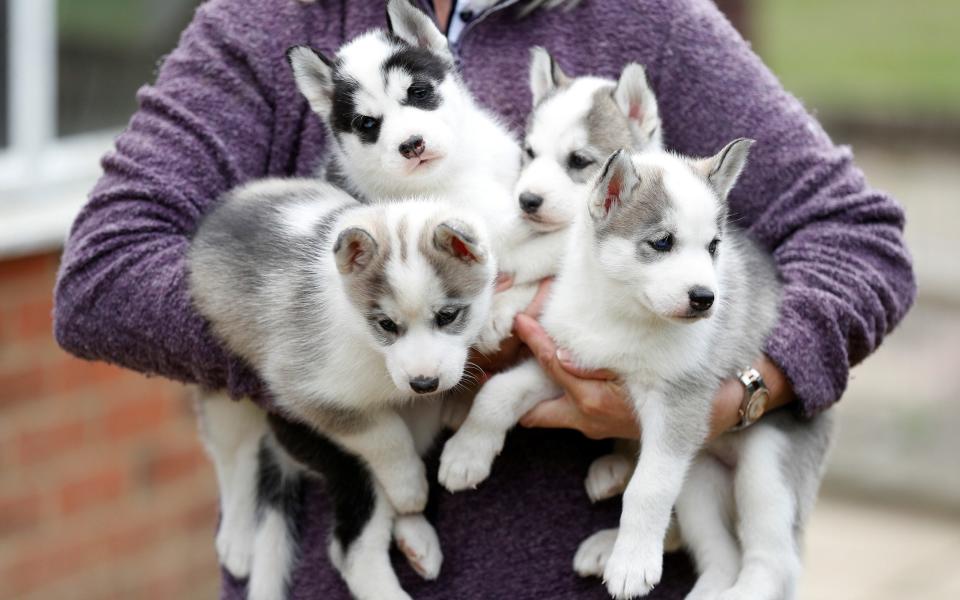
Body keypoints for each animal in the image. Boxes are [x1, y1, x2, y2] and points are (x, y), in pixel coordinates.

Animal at [192, 179, 498, 600]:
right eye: (386, 324)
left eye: (448, 316)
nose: (423, 383)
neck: (368, 346)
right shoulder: (308, 390)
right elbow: (385, 435)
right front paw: (407, 486)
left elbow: (404, 437)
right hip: (225, 387)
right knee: (235, 457)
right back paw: (237, 538)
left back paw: (415, 536)